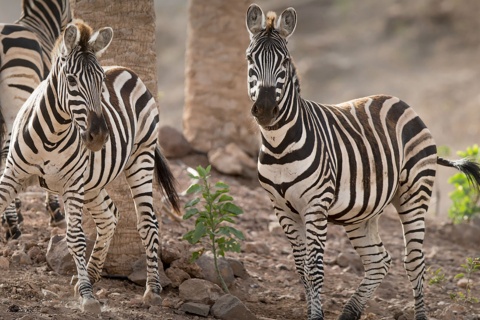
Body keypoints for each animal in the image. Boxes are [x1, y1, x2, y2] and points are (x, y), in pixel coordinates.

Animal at [246, 5, 480, 320]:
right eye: (250, 58)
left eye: (284, 61)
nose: (266, 109)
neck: (279, 144)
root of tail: (402, 102)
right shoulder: (282, 209)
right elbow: (300, 268)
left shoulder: (316, 205)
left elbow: (314, 269)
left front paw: (316, 315)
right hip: (361, 211)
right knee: (380, 260)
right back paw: (350, 311)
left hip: (414, 193)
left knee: (415, 262)